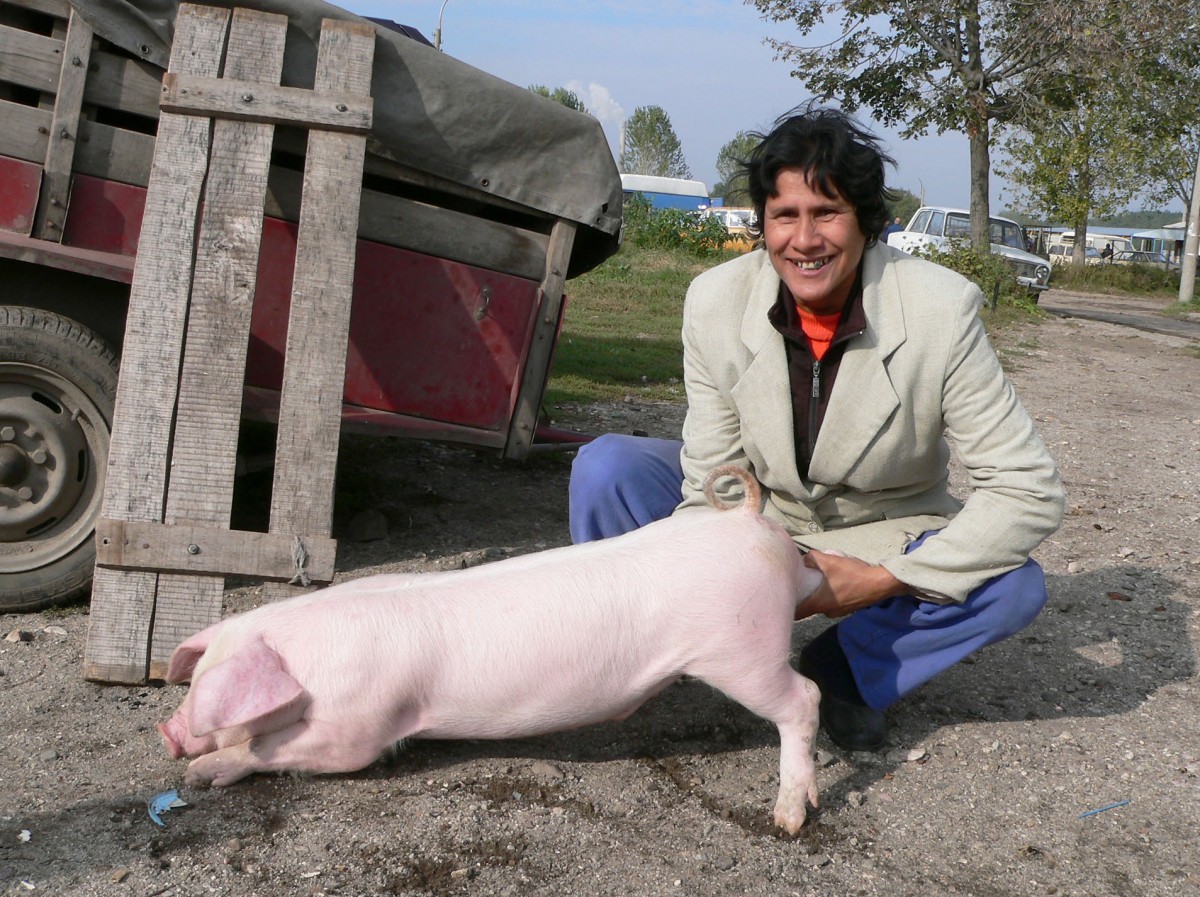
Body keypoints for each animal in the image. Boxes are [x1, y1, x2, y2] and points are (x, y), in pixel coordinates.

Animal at [159, 470, 830, 834]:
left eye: (208, 701)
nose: (168, 732)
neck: (309, 665)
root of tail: (745, 521)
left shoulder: (357, 729)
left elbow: (280, 749)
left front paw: (198, 775)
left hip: (741, 649)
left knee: (805, 696)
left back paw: (789, 819)